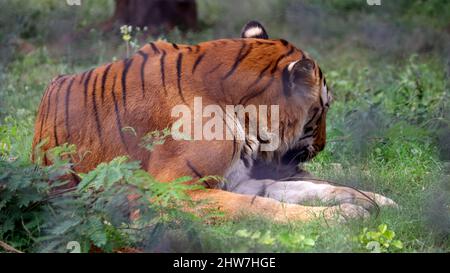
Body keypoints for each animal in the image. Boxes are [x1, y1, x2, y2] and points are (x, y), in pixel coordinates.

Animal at [31, 20, 396, 221]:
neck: (244, 115)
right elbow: (258, 207)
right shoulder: (175, 192)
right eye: (323, 108)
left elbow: (308, 188)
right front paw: (345, 216)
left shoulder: (236, 179)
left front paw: (375, 200)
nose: (321, 146)